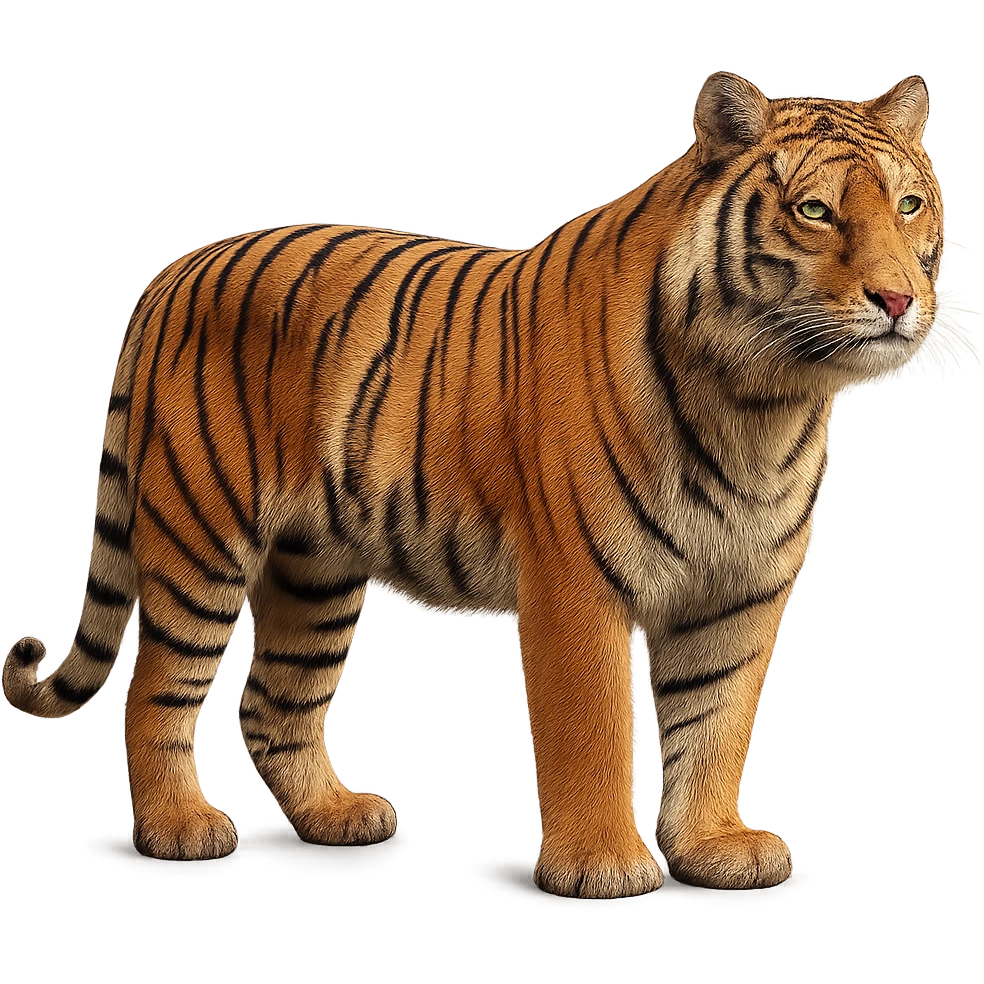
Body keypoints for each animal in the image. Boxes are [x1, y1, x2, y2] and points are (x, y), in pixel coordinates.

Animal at [2, 71, 944, 899]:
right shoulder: (579, 586)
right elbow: (594, 731)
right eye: (815, 211)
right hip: (203, 541)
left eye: (909, 205)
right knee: (154, 688)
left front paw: (713, 848)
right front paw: (601, 865)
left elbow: (714, 724)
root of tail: (176, 267)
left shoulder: (742, 590)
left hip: (315, 566)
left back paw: (334, 815)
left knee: (273, 702)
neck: (765, 397)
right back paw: (179, 827)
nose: (899, 299)